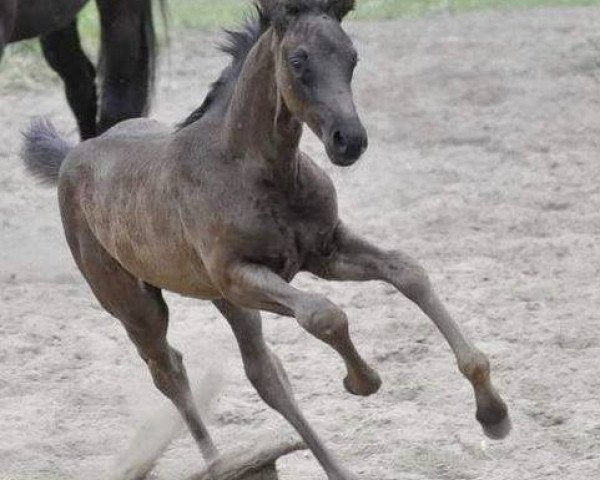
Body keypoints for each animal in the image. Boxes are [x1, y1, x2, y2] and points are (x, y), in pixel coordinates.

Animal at [22, 1, 510, 478]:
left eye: (352, 57)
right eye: (298, 61)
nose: (349, 141)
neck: (255, 169)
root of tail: (71, 155)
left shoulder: (324, 250)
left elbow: (408, 272)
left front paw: (493, 413)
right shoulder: (242, 275)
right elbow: (323, 314)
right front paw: (363, 380)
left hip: (220, 296)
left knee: (264, 374)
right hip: (136, 305)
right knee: (169, 370)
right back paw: (219, 462)